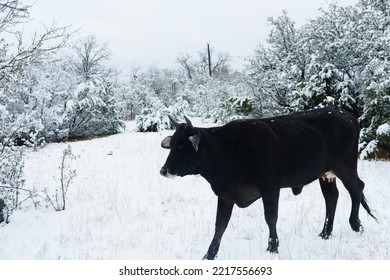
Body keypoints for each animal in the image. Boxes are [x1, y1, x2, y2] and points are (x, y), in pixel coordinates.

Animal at [158, 107, 374, 260]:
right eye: (173, 144)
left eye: (182, 145)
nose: (164, 170)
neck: (228, 151)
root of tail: (346, 115)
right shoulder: (226, 194)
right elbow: (220, 224)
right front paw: (209, 254)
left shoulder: (271, 188)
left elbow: (270, 217)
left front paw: (272, 246)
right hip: (326, 173)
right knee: (331, 197)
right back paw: (325, 233)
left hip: (346, 167)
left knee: (357, 188)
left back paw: (355, 224)